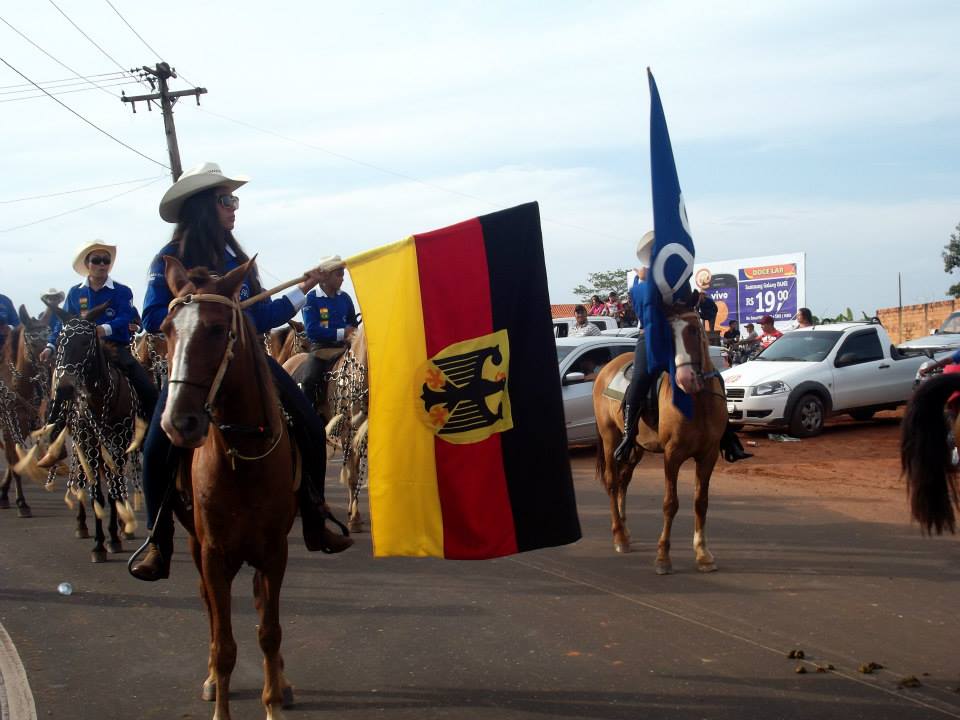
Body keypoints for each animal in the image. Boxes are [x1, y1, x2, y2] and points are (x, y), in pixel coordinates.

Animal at [42, 302, 140, 561]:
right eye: (61, 340)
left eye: (86, 342)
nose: (65, 388)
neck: (99, 400)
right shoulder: (87, 443)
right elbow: (96, 491)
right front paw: (99, 544)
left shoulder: (119, 444)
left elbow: (115, 490)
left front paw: (115, 537)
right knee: (81, 479)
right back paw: (82, 525)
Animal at [160, 257, 300, 719]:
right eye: (166, 329)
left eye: (218, 329)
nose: (179, 422)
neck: (242, 454)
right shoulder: (213, 553)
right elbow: (224, 645)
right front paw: (220, 701)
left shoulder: (275, 551)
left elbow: (269, 631)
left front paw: (273, 701)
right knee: (208, 606)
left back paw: (282, 682)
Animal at [592, 301, 727, 574]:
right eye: (666, 336)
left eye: (695, 330)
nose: (686, 379)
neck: (697, 403)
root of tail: (606, 370)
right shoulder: (672, 455)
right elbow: (670, 504)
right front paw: (663, 557)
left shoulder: (708, 455)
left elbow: (701, 502)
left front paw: (703, 554)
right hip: (610, 438)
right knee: (612, 482)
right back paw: (619, 536)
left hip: (635, 448)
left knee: (623, 480)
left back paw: (625, 530)